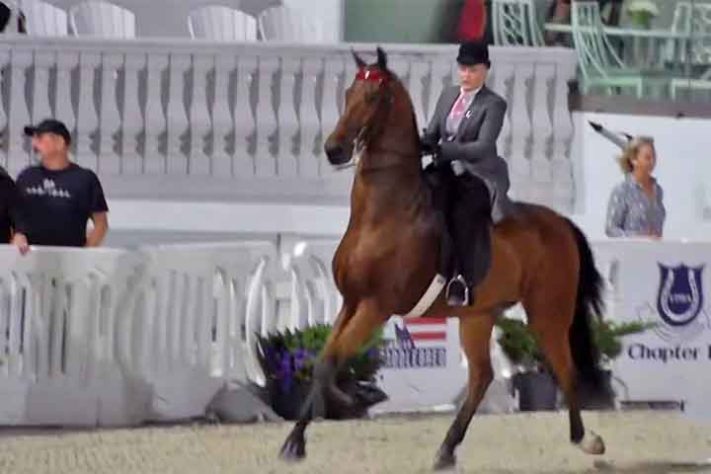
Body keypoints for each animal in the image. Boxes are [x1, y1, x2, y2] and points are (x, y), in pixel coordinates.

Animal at [279, 47, 608, 470]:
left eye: (374, 97)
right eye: (350, 92)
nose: (334, 149)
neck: (383, 215)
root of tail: (561, 223)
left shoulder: (375, 306)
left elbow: (334, 358)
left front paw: (333, 413)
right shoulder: (351, 302)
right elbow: (324, 361)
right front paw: (297, 439)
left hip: (548, 313)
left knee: (564, 369)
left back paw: (587, 440)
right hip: (478, 315)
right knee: (482, 377)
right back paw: (446, 449)